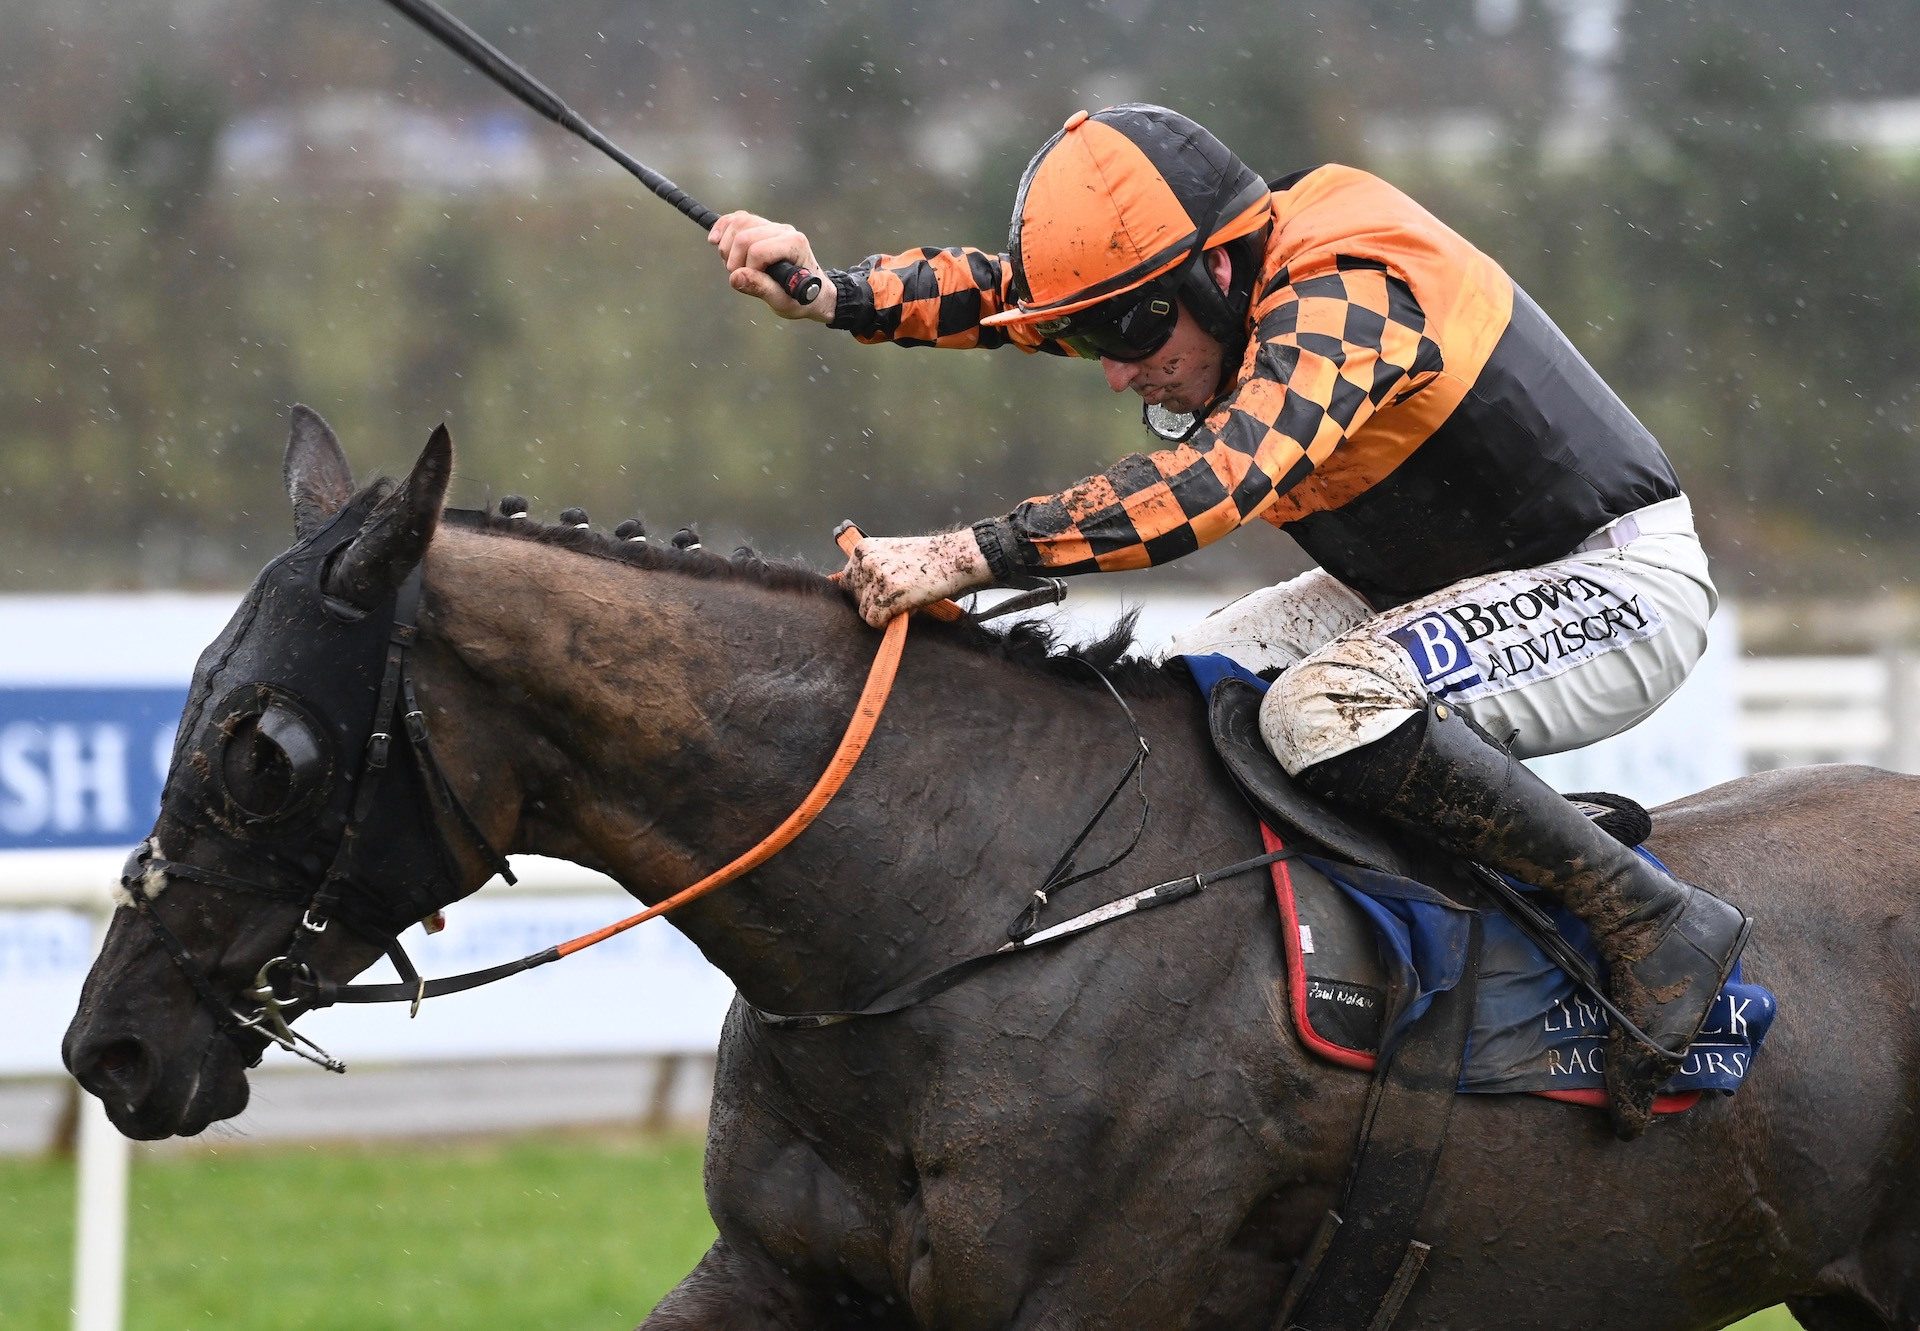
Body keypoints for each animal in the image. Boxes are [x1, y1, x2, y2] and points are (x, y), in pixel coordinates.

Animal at [60, 411, 1920, 1321]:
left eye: (266, 745)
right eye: (191, 697)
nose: (109, 1043)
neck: (963, 914)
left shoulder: (1088, 1301)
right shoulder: (779, 1271)